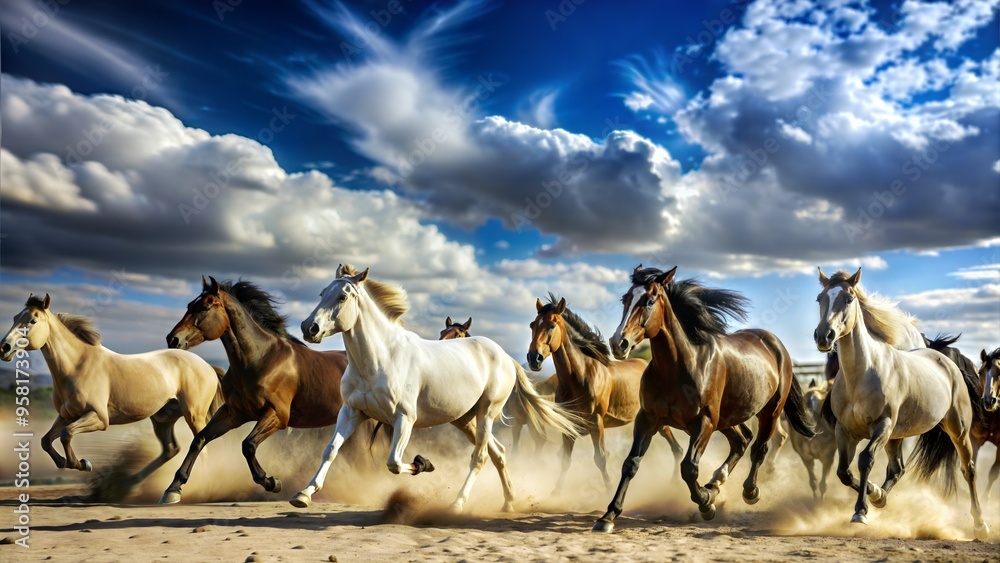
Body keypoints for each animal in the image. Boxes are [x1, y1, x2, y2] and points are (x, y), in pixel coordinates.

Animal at [0, 294, 224, 487]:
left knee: (202, 448)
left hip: (194, 415)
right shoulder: (67, 415)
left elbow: (66, 434)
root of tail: (207, 366)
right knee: (171, 449)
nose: (4, 347)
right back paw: (134, 484)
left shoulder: (99, 418)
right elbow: (46, 440)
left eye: (33, 321)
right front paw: (69, 463)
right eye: (15, 317)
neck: (77, 366)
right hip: (163, 417)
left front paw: (82, 464)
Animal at [159, 277, 349, 504]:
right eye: (189, 306)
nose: (172, 339)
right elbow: (199, 440)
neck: (261, 359)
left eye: (205, 307)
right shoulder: (233, 413)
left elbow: (247, 445)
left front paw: (272, 482)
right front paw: (173, 489)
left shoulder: (277, 415)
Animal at [527, 294, 684, 491]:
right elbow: (565, 460)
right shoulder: (569, 424)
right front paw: (556, 491)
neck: (580, 377)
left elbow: (600, 458)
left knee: (677, 449)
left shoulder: (597, 423)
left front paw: (609, 490)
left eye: (551, 325)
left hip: (658, 422)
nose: (534, 358)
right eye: (532, 325)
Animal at [593, 266, 815, 532]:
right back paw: (716, 482)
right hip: (727, 418)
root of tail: (775, 344)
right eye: (624, 299)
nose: (619, 343)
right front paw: (608, 516)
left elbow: (689, 468)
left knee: (759, 448)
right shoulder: (648, 419)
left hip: (769, 413)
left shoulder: (704, 421)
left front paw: (706, 504)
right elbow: (631, 463)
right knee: (742, 441)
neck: (678, 368)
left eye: (649, 300)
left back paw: (749, 491)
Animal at [813, 268, 988, 539]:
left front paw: (860, 512)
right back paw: (880, 496)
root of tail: (946, 360)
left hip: (957, 429)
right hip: (896, 436)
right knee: (897, 469)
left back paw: (980, 525)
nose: (824, 336)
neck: (861, 375)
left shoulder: (881, 425)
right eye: (820, 298)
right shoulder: (845, 431)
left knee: (968, 468)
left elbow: (865, 460)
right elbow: (844, 472)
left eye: (849, 298)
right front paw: (874, 495)